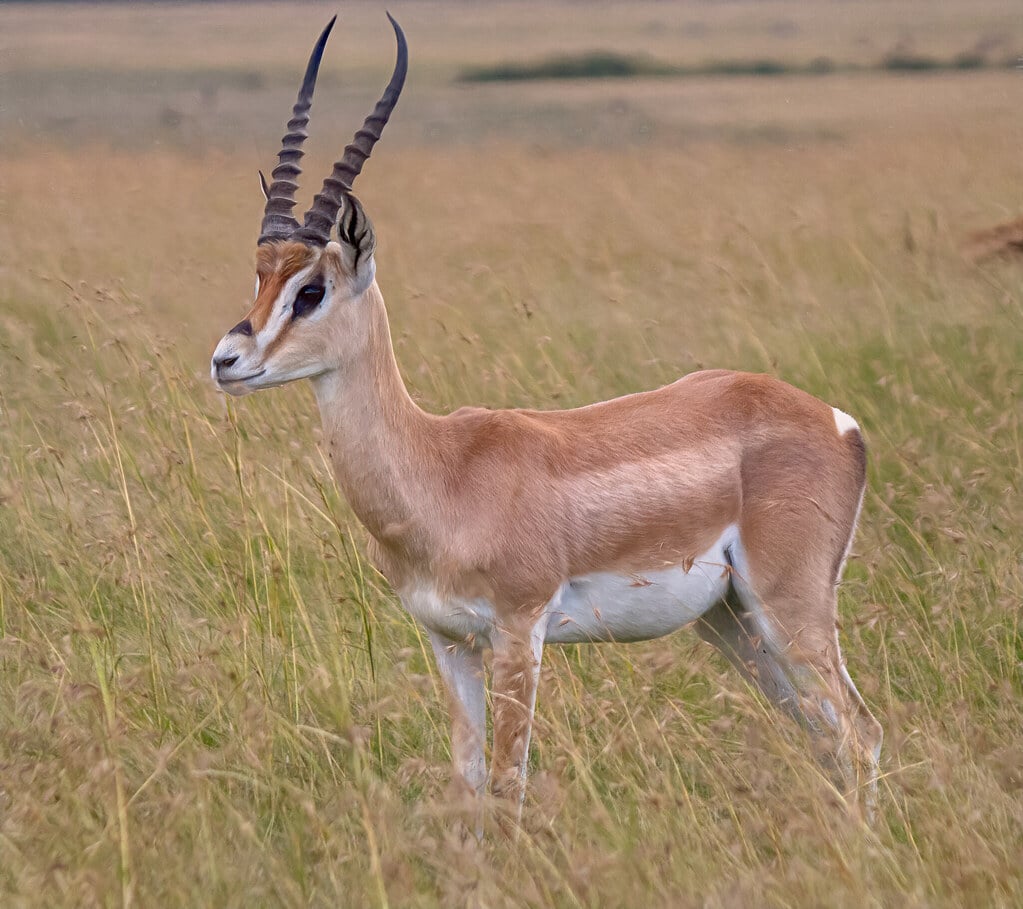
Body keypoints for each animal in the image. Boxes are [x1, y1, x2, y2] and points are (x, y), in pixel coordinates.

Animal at [211, 15, 883, 829]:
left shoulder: (517, 631)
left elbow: (508, 786)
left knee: (859, 732)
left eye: (311, 290)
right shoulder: (448, 642)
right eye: (259, 274)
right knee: (824, 734)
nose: (226, 359)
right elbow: (467, 782)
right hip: (734, 621)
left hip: (789, 607)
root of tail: (836, 420)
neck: (441, 470)